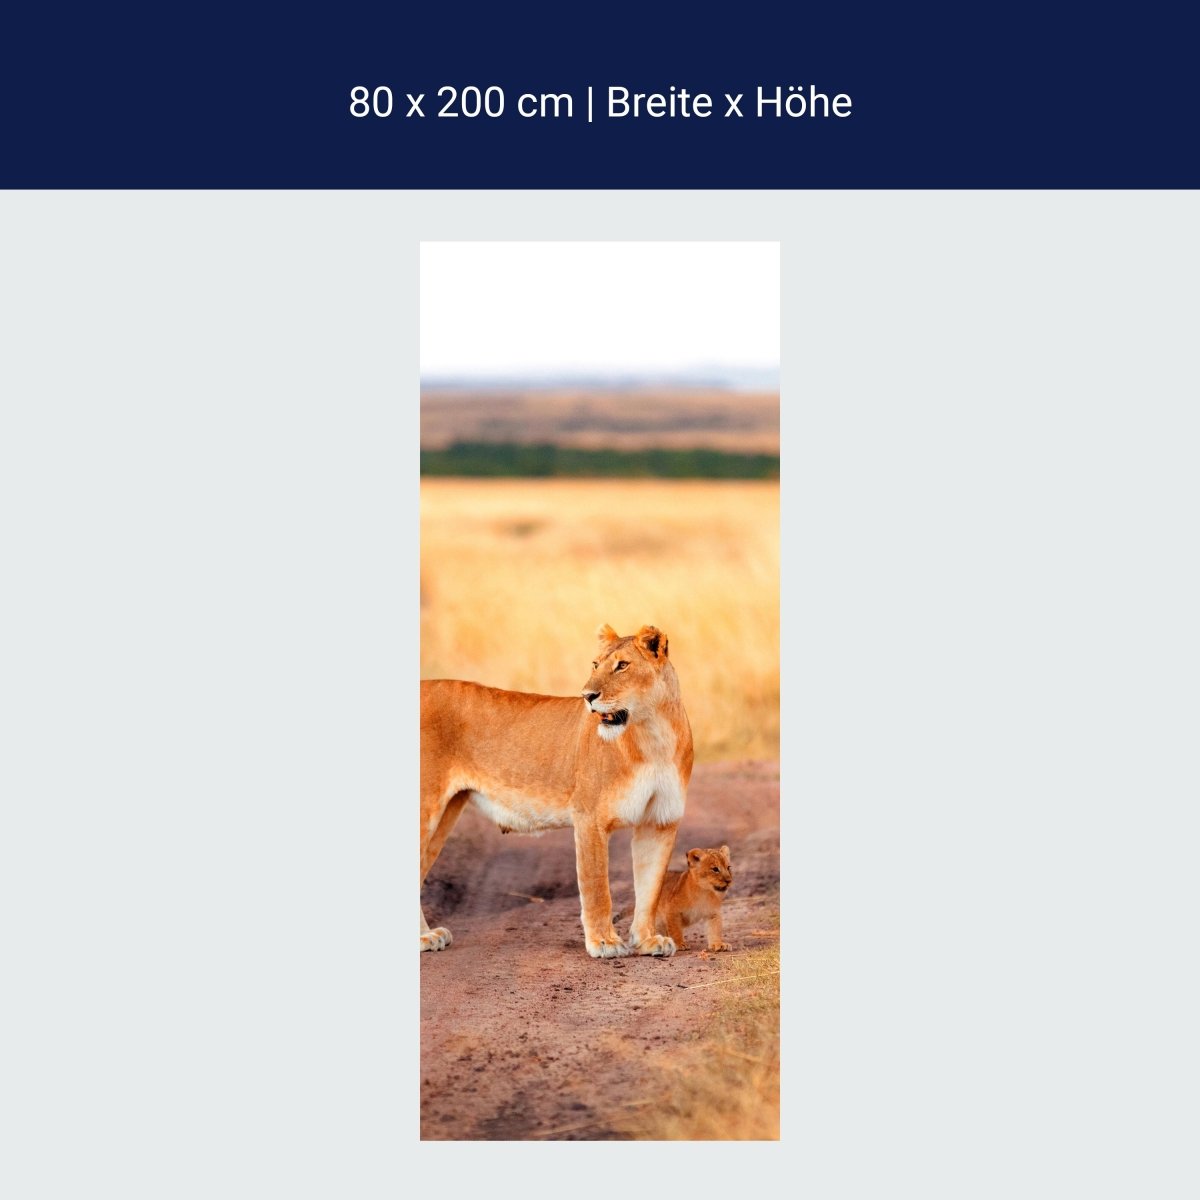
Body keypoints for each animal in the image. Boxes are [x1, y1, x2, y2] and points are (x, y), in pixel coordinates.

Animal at [420, 623, 692, 958]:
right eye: (595, 664)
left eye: (622, 666)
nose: (587, 696)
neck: (654, 734)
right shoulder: (590, 817)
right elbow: (596, 886)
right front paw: (604, 942)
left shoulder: (659, 822)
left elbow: (650, 888)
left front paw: (647, 940)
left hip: (446, 814)